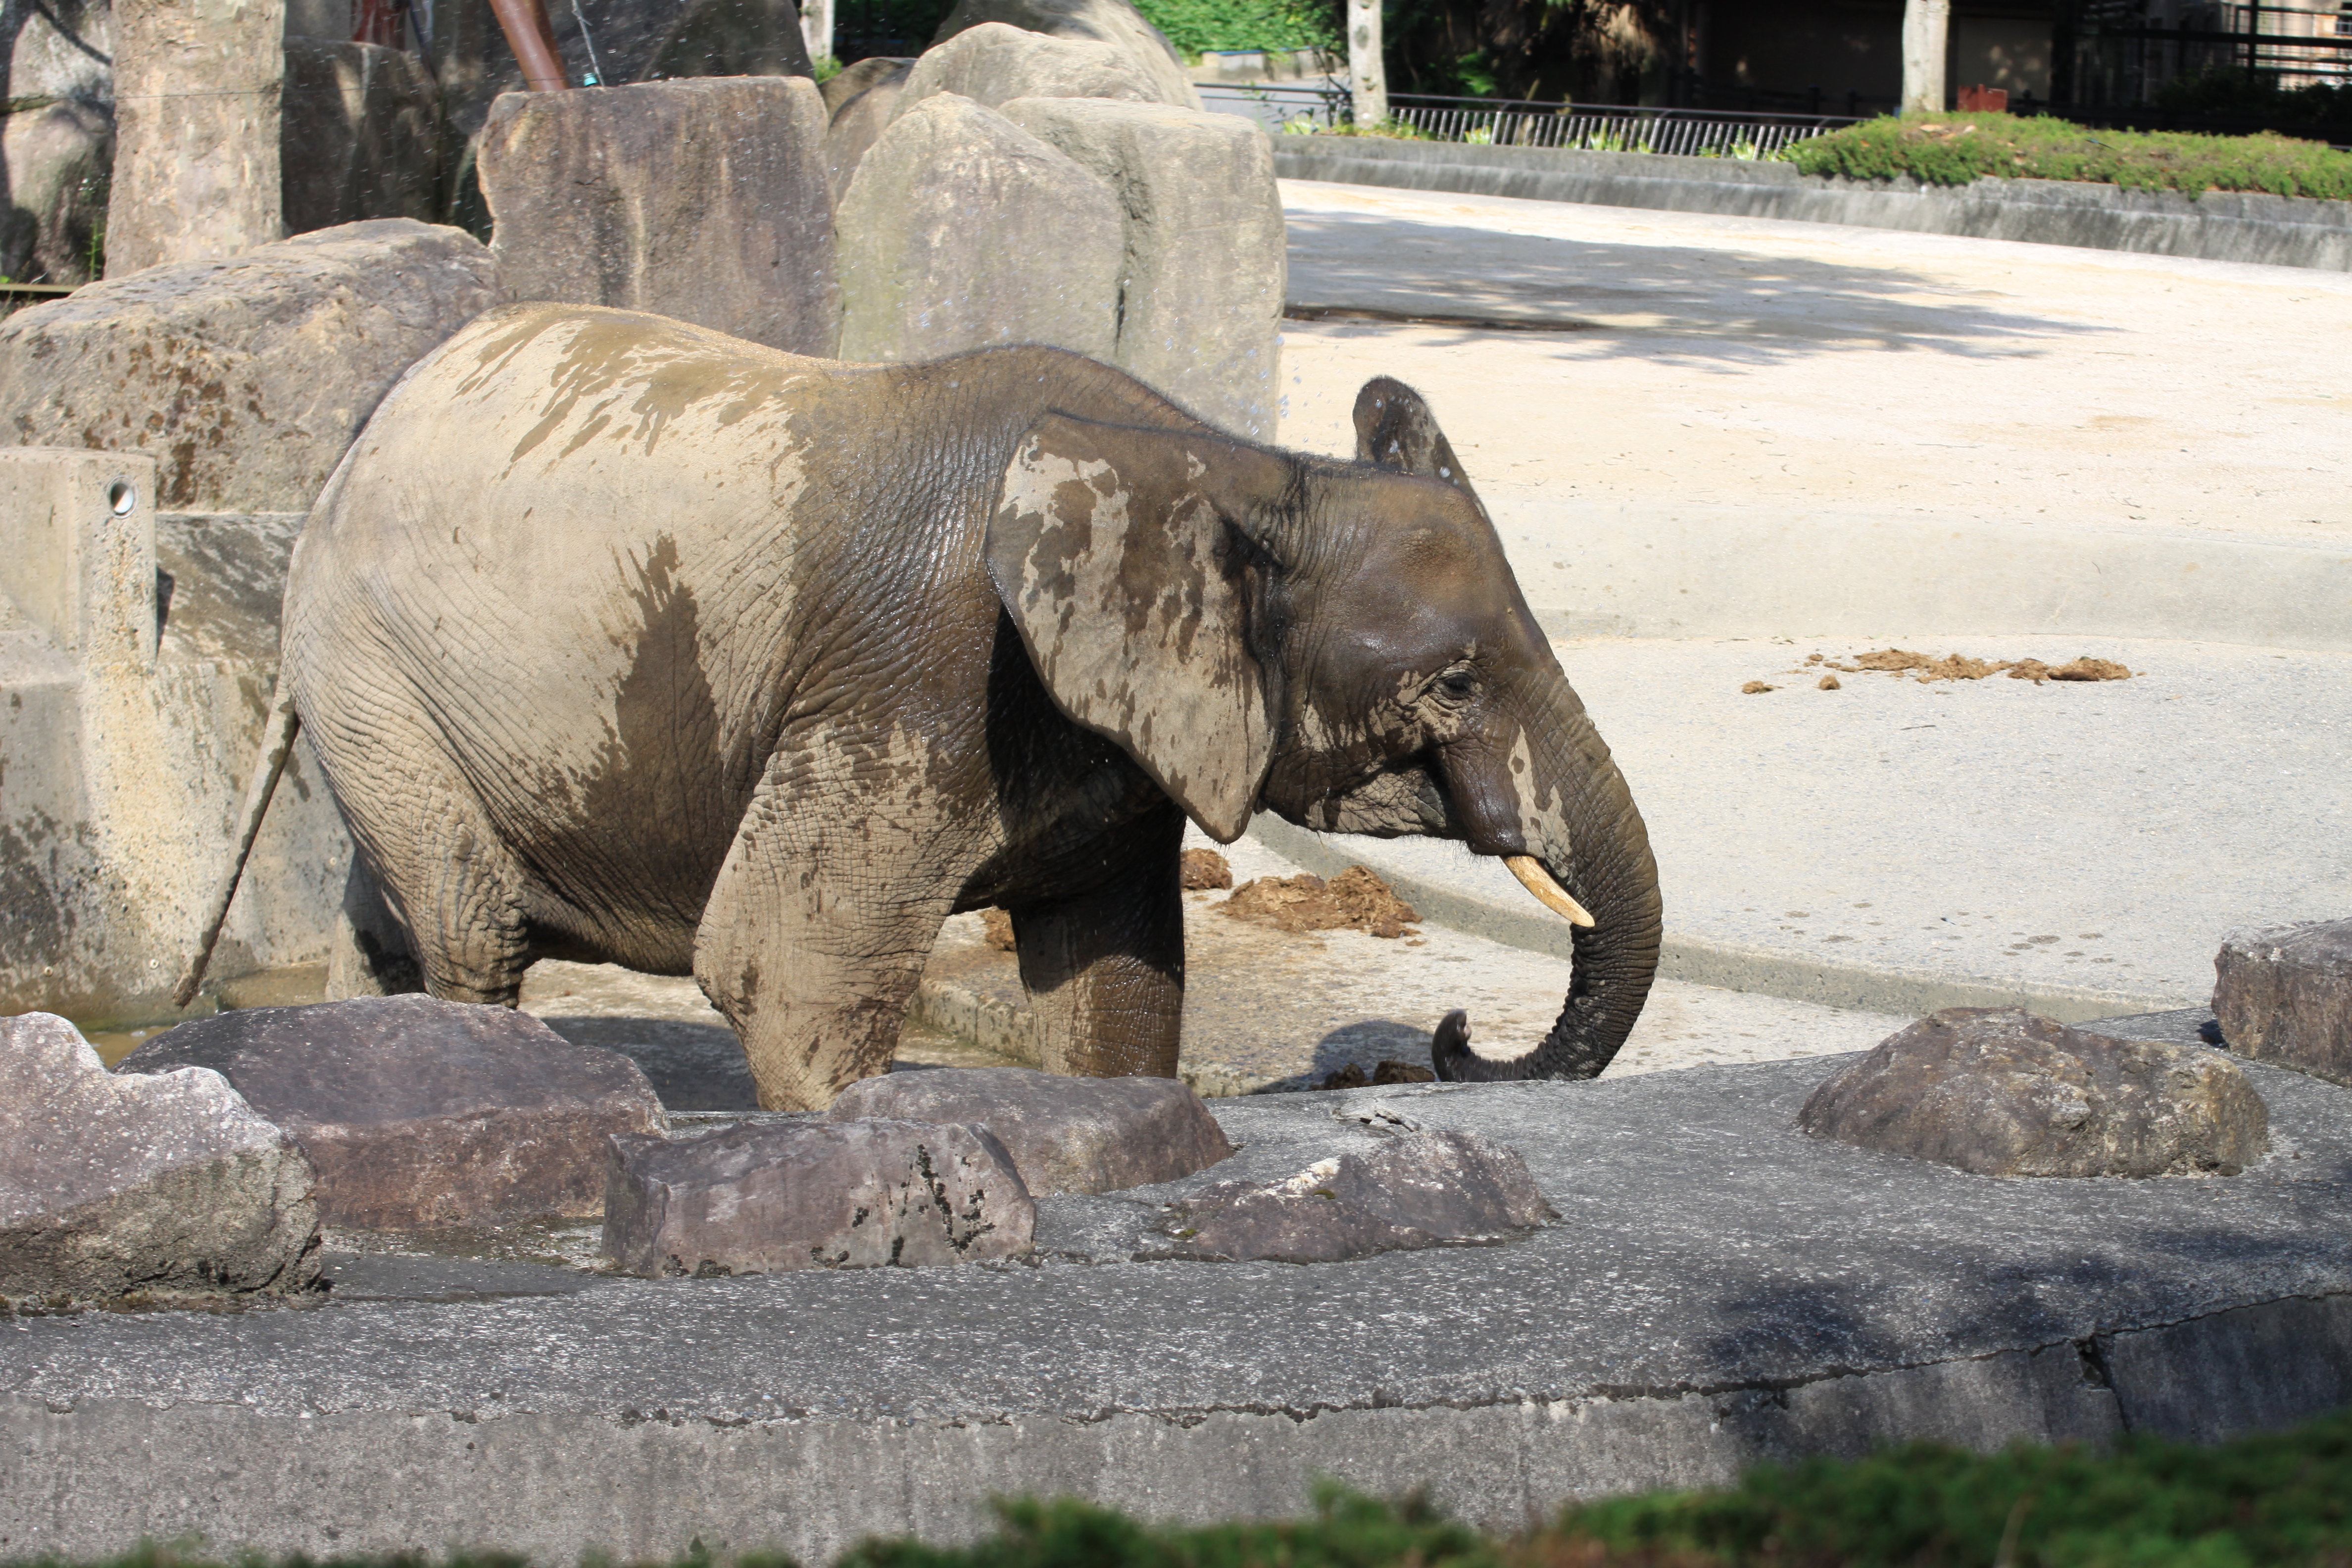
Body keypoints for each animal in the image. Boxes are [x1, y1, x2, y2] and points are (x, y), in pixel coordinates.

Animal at [179, 303, 1656, 1114]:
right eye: (1455, 680)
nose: (1449, 1038)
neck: (1232, 467)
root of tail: (342, 459)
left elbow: (1118, 992)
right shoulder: (920, 672)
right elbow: (780, 970)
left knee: (393, 926)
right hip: (371, 662)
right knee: (470, 930)